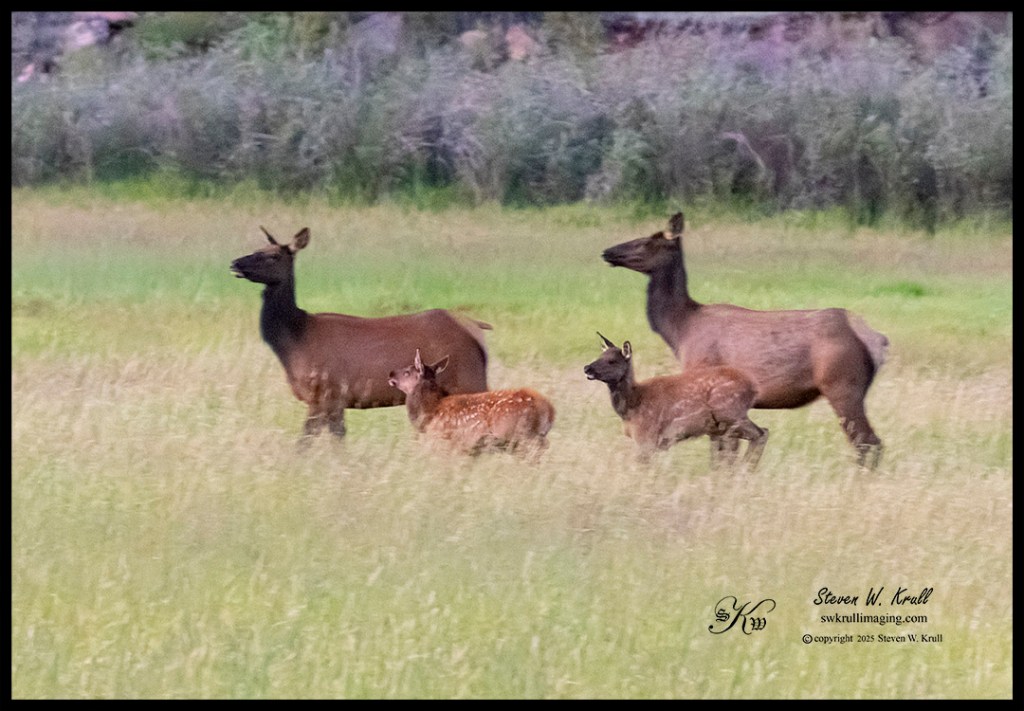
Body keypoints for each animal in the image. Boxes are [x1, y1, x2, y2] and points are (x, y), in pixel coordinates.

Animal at [230, 226, 491, 441]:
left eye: (273, 256)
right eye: (256, 249)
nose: (235, 263)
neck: (293, 341)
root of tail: (476, 331)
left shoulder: (325, 393)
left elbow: (305, 442)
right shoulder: (336, 401)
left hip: (468, 380)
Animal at [388, 349, 555, 457]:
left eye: (407, 372)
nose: (390, 373)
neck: (429, 412)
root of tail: (549, 409)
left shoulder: (447, 443)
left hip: (517, 434)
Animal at [584, 333, 768, 467]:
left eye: (612, 361)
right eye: (600, 355)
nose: (587, 367)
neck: (631, 406)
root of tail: (754, 387)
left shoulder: (647, 436)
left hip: (731, 414)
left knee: (761, 433)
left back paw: (746, 469)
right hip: (724, 424)